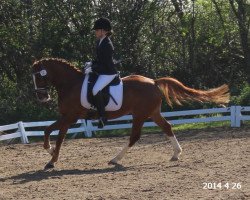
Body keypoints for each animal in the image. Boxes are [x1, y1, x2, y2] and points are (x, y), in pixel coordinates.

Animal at [32, 57, 229, 169]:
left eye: (40, 75)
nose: (42, 97)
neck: (71, 84)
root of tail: (153, 82)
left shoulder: (70, 117)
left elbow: (56, 136)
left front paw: (51, 161)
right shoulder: (66, 117)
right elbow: (49, 131)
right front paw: (51, 153)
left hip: (140, 115)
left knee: (135, 136)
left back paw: (115, 159)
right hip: (152, 113)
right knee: (167, 127)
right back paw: (175, 154)